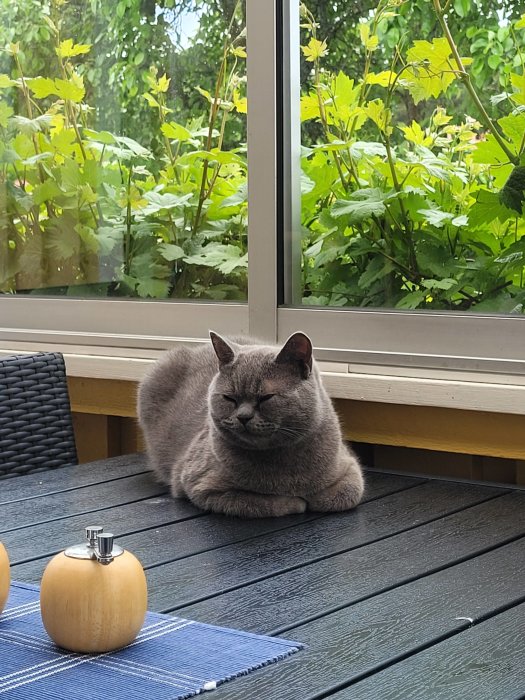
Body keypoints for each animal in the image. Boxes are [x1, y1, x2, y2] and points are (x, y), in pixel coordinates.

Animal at [137, 330, 362, 516]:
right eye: (229, 398)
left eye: (266, 398)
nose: (243, 417)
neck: (284, 464)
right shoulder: (201, 485)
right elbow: (260, 502)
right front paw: (294, 501)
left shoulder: (351, 469)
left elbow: (344, 495)